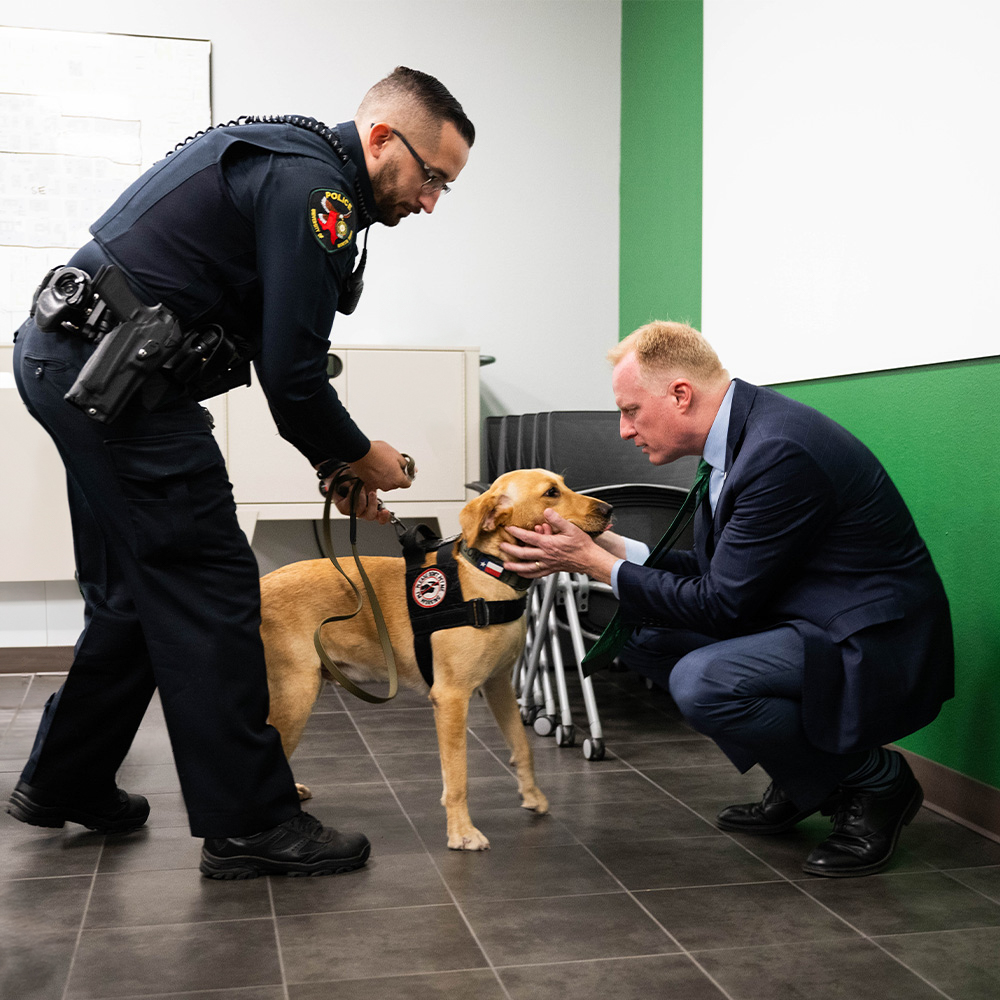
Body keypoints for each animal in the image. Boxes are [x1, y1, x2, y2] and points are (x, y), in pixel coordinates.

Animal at [258, 472, 612, 848]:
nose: (609, 509)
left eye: (562, 484)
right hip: (296, 694)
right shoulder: (451, 697)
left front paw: (532, 795)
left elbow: (522, 746)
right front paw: (462, 832)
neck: (488, 574)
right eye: (551, 494)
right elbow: (457, 776)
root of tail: (261, 584)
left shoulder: (498, 685)